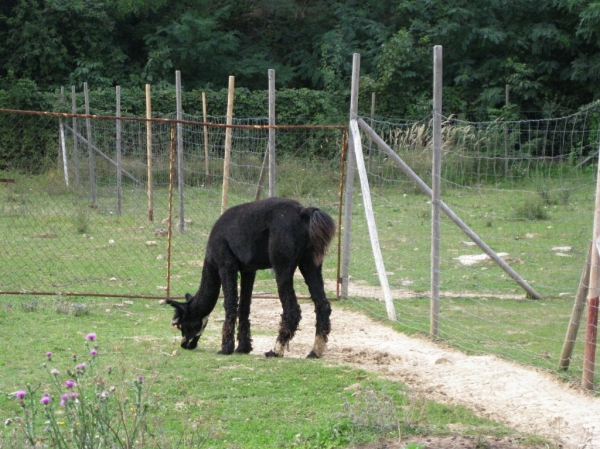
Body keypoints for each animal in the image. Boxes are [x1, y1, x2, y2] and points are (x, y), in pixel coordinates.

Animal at [164, 197, 336, 358]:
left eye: (179, 324)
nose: (185, 344)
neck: (210, 257)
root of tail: (303, 212)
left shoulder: (226, 264)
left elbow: (230, 305)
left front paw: (226, 349)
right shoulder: (248, 270)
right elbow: (244, 307)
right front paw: (243, 348)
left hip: (282, 262)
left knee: (292, 309)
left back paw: (275, 350)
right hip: (310, 261)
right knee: (322, 305)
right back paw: (315, 352)